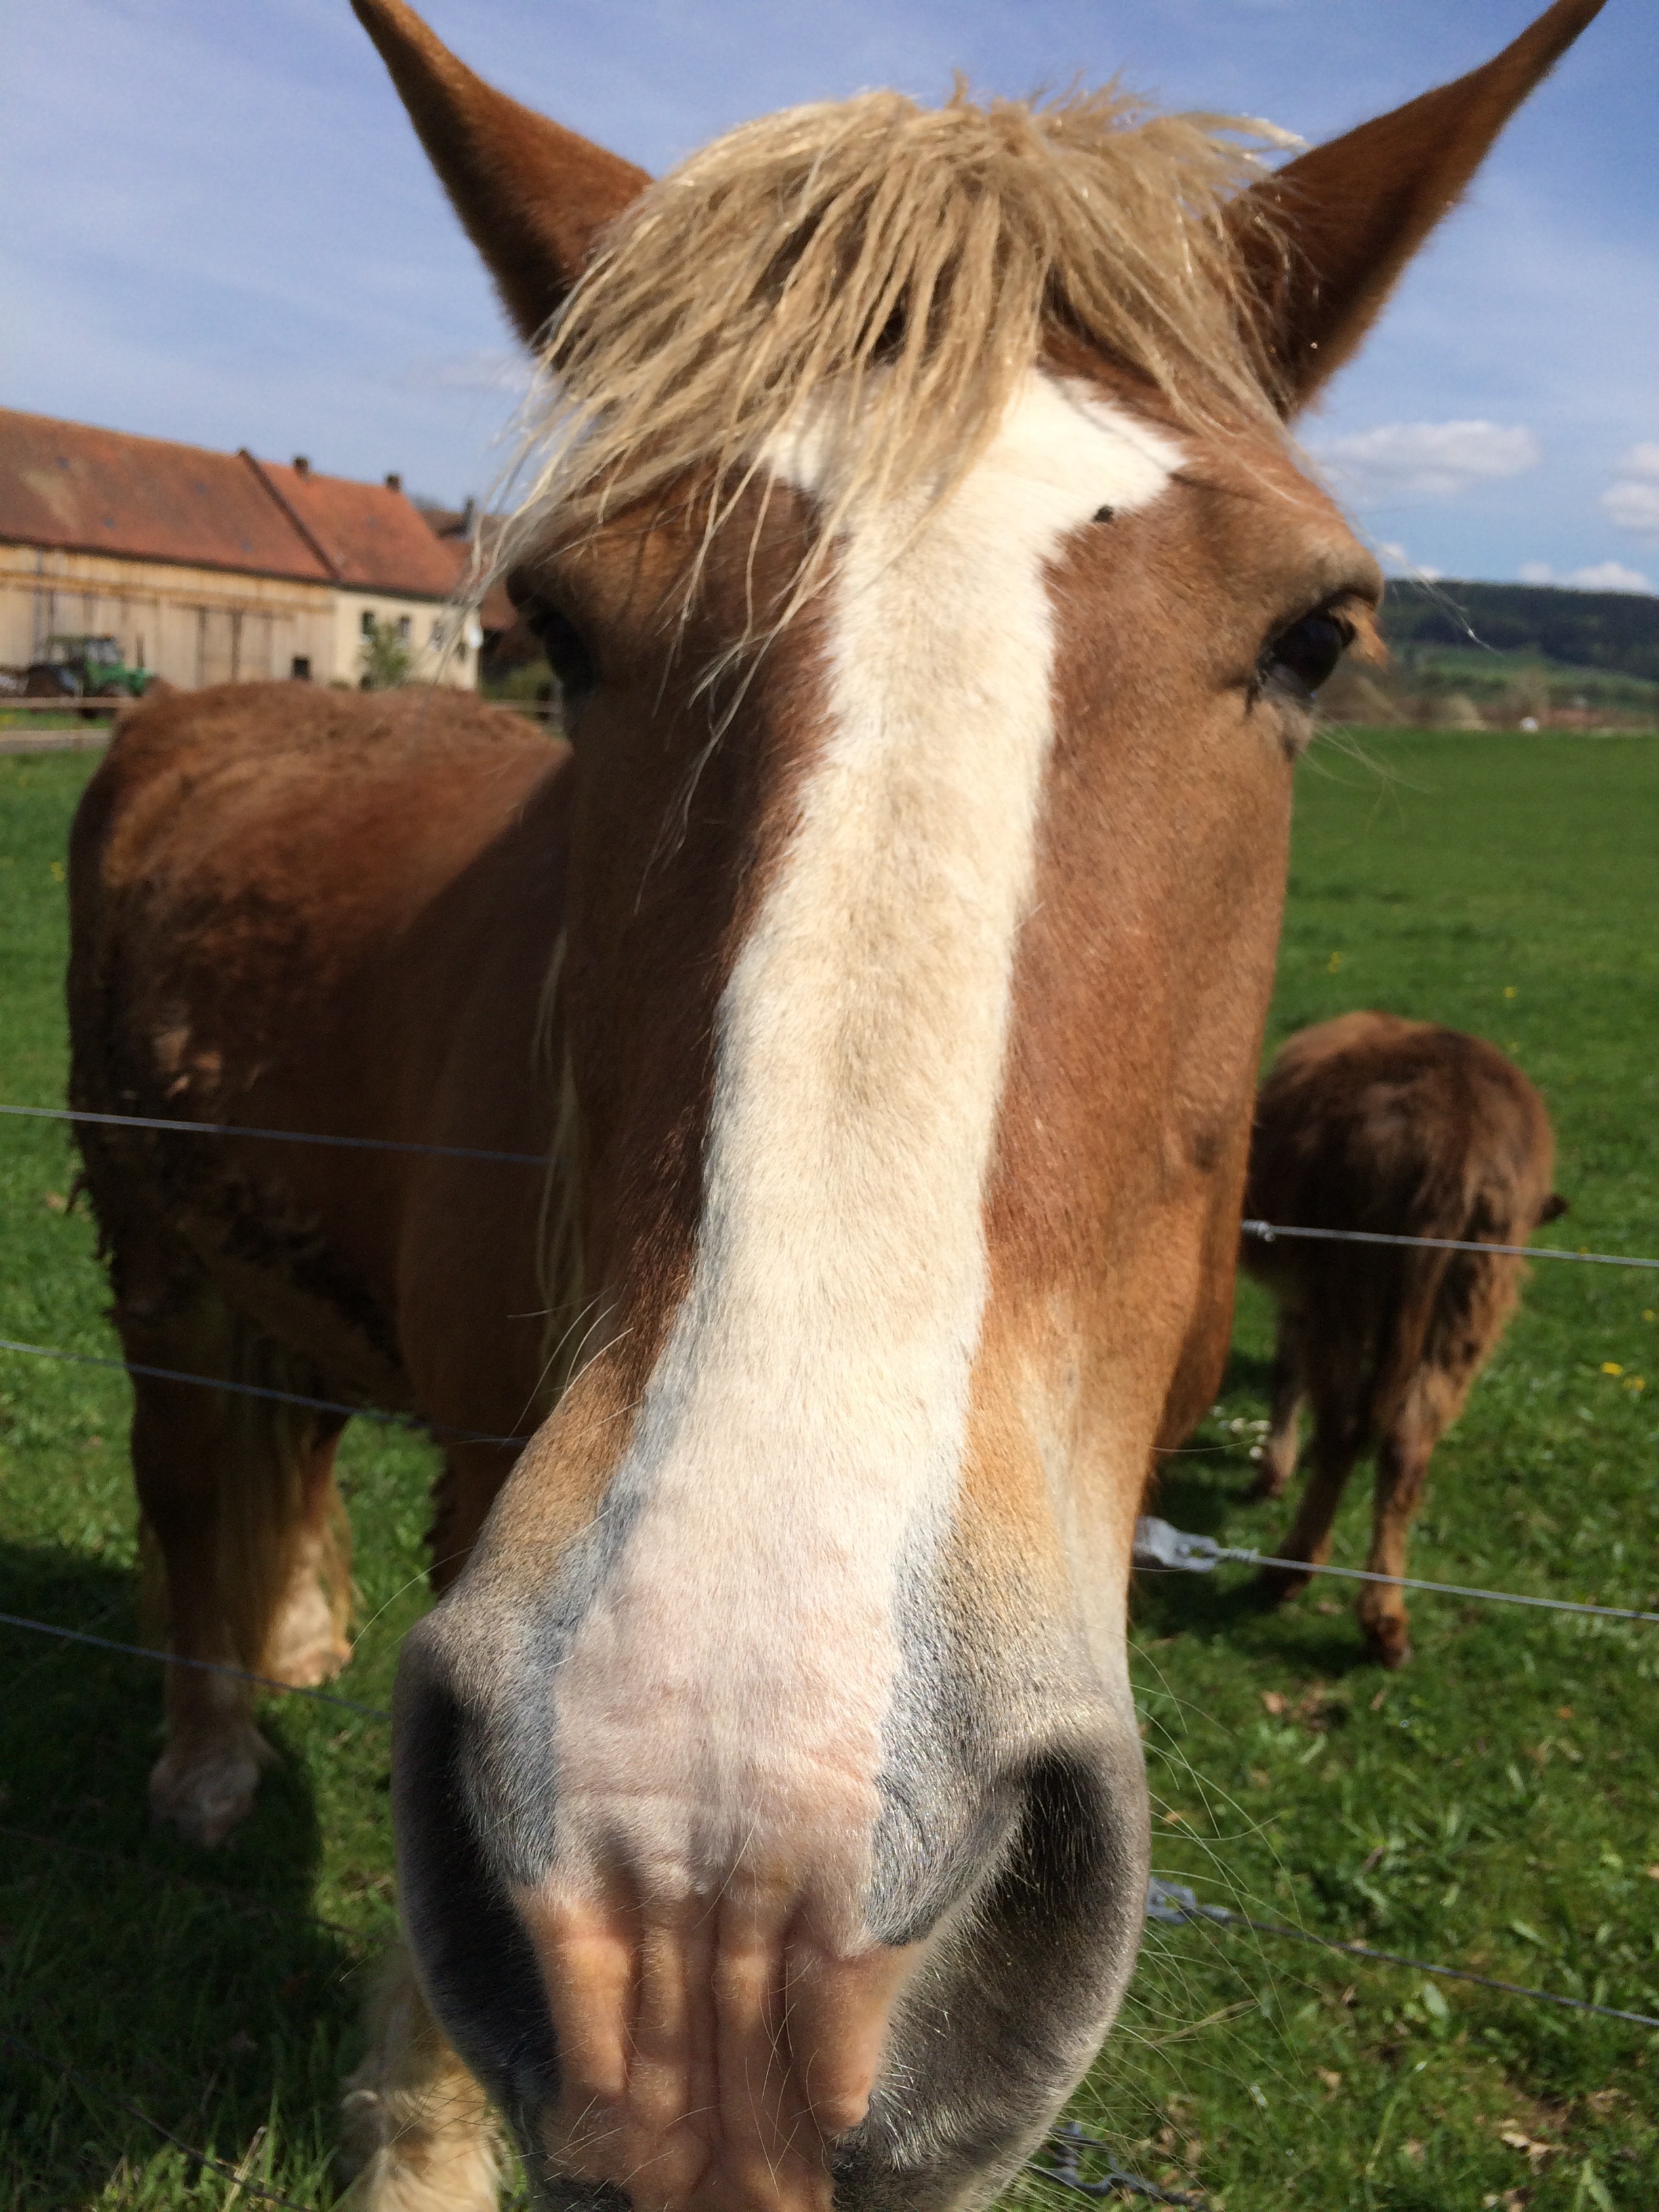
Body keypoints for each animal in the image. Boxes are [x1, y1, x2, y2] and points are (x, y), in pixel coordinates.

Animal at [1247, 1012, 1574, 1663]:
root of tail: (1457, 1138)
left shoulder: (1301, 1288)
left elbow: (1287, 1373)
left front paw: (1272, 1471)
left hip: (1343, 1289)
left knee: (1345, 1430)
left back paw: (1290, 1570)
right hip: (1466, 1307)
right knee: (1405, 1446)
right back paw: (1385, 1622)